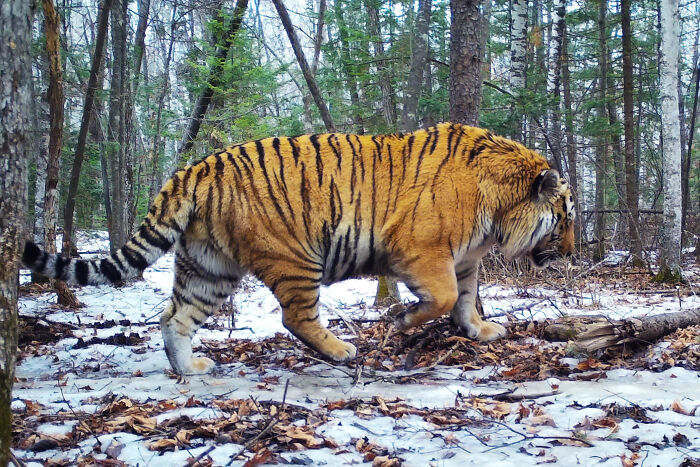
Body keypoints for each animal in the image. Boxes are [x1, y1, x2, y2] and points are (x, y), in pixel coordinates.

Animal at [23, 123, 576, 376]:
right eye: (566, 217)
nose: (571, 253)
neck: (498, 208)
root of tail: (197, 167)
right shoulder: (422, 252)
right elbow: (439, 299)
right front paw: (401, 323)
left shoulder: (464, 260)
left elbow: (464, 300)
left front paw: (480, 331)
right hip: (295, 258)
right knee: (296, 318)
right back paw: (341, 350)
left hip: (208, 268)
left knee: (173, 318)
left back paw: (191, 369)